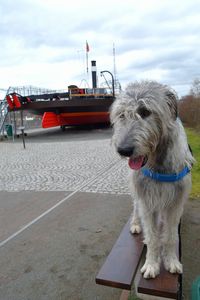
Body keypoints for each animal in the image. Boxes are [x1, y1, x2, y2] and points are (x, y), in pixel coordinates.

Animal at [110, 80, 195, 278]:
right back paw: (135, 224)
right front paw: (151, 264)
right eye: (122, 114)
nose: (123, 150)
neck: (158, 163)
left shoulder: (175, 203)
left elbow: (170, 236)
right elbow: (153, 237)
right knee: (135, 207)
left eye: (145, 111)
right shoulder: (147, 201)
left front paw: (171, 260)